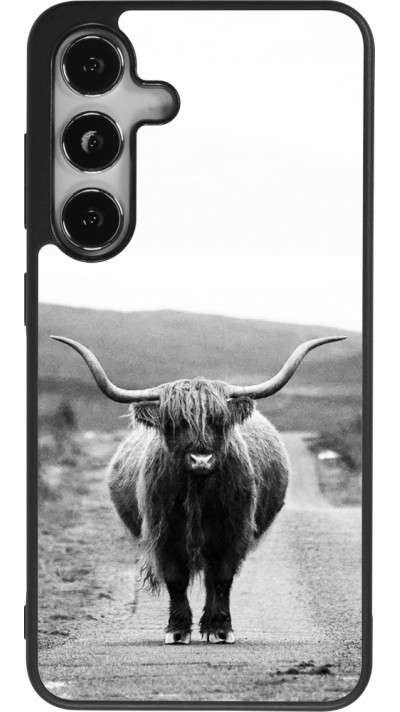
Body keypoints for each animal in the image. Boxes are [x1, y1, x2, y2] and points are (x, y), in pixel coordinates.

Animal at [51, 334, 345, 645]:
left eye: (218, 420)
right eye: (174, 423)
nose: (201, 459)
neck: (198, 491)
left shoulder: (233, 531)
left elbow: (222, 577)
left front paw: (220, 628)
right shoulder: (163, 532)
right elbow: (175, 578)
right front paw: (177, 629)